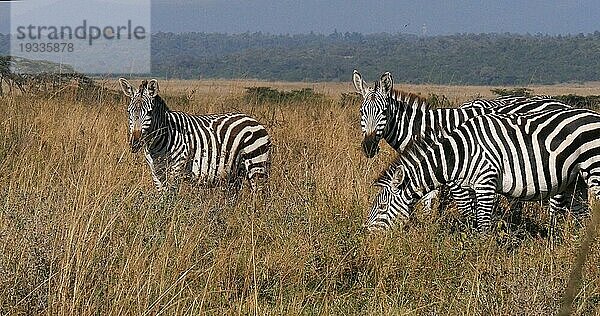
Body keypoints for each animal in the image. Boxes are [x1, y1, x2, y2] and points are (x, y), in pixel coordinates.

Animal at [118, 78, 270, 193]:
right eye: (128, 111)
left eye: (149, 113)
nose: (135, 143)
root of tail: (254, 120)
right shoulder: (156, 171)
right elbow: (161, 197)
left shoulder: (177, 167)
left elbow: (169, 199)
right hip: (236, 171)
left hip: (256, 164)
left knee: (259, 195)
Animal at [366, 108, 600, 232]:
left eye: (382, 207)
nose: (365, 234)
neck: (458, 154)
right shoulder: (468, 186)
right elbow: (472, 218)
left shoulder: (486, 181)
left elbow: (483, 224)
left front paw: (483, 254)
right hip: (576, 181)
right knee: (582, 216)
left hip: (595, 171)